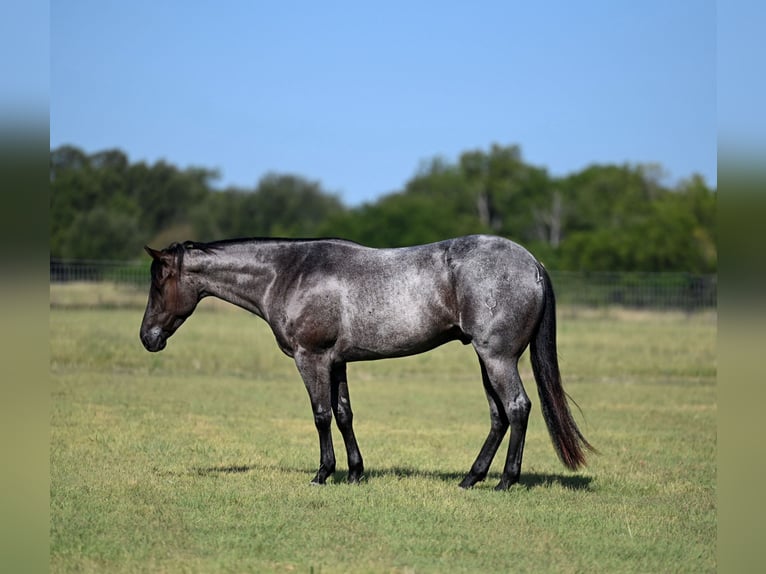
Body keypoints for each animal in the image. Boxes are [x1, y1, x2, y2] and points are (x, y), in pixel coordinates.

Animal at [140, 234, 594, 490]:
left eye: (159, 282)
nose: (148, 337)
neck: (289, 273)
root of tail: (532, 264)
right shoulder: (336, 362)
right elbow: (344, 414)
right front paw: (356, 473)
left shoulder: (311, 358)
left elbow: (321, 415)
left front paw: (323, 474)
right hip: (487, 359)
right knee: (499, 416)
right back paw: (471, 479)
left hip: (497, 358)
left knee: (517, 408)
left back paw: (504, 481)